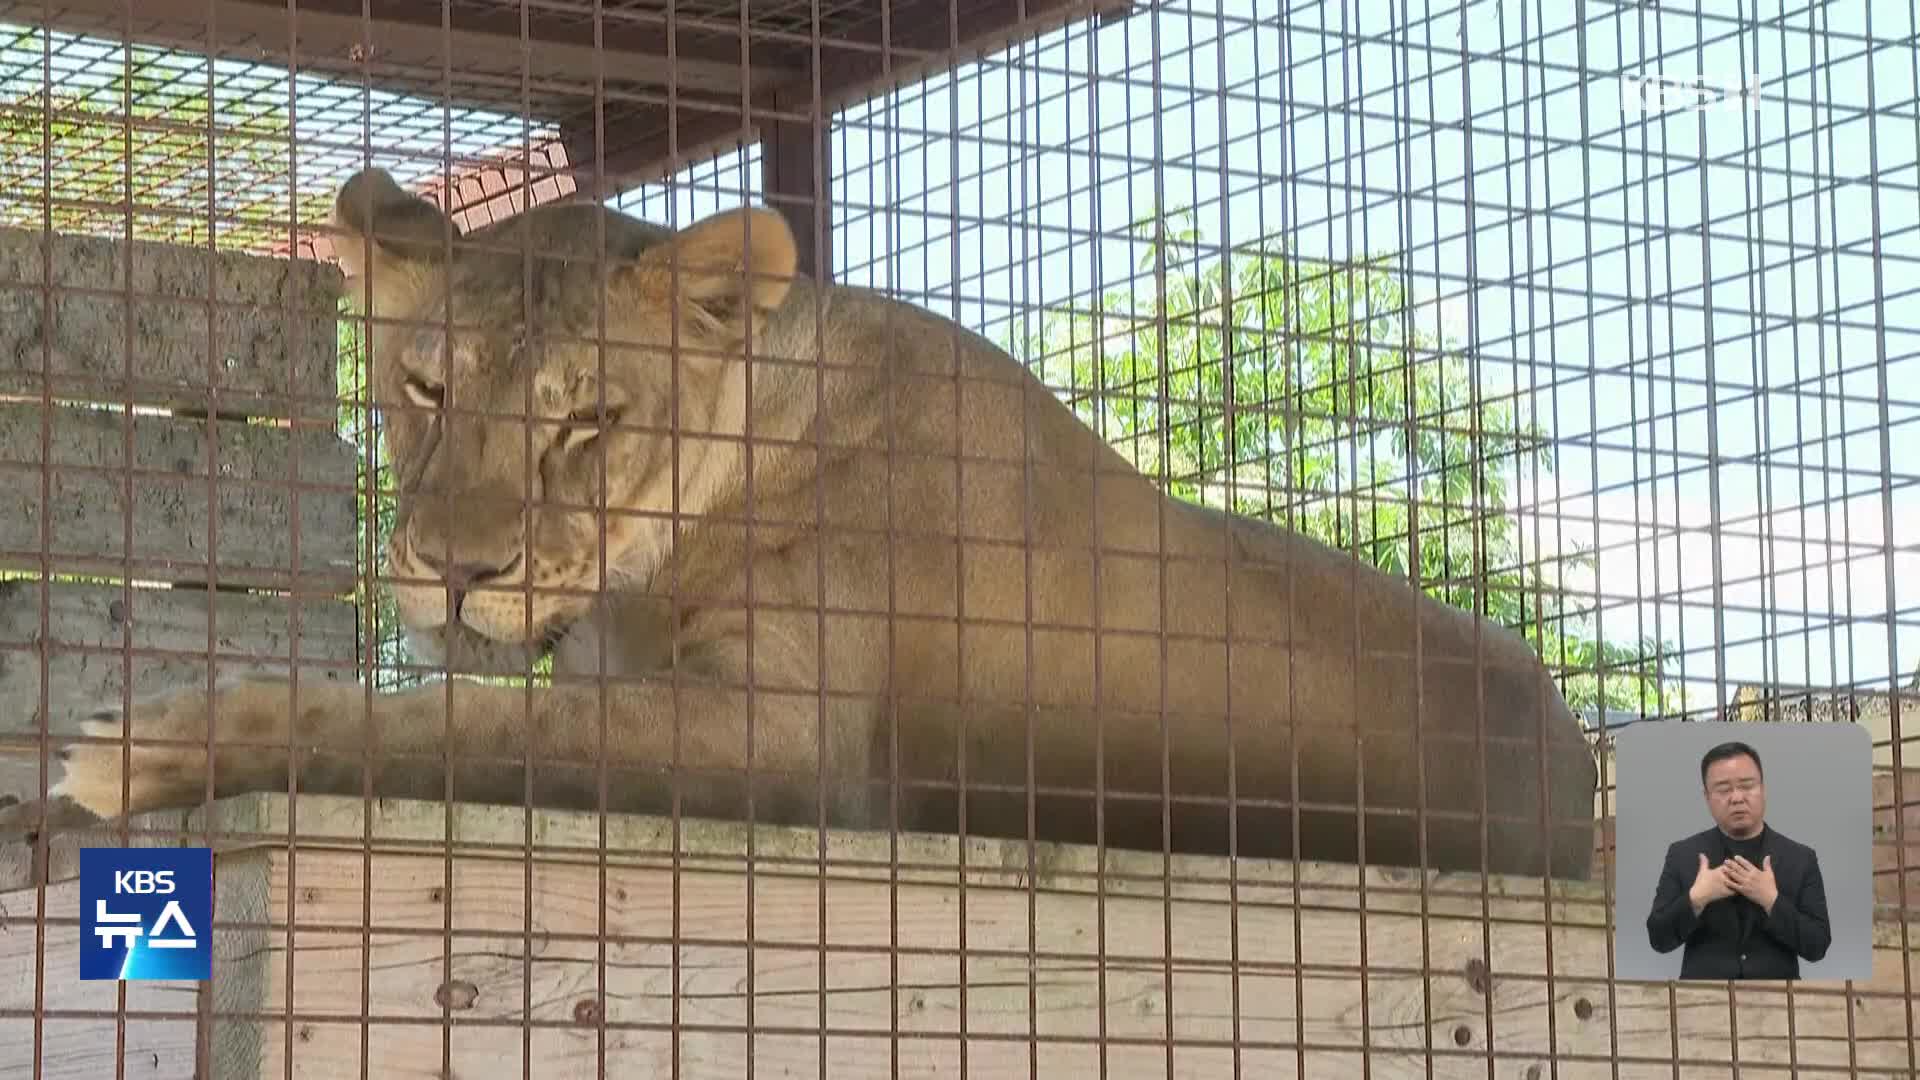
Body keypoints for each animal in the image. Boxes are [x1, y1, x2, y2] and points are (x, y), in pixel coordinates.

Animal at [0, 166, 1589, 876]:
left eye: (590, 419)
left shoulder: (784, 741)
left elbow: (451, 732)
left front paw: (151, 751)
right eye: (425, 384)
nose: (455, 571)